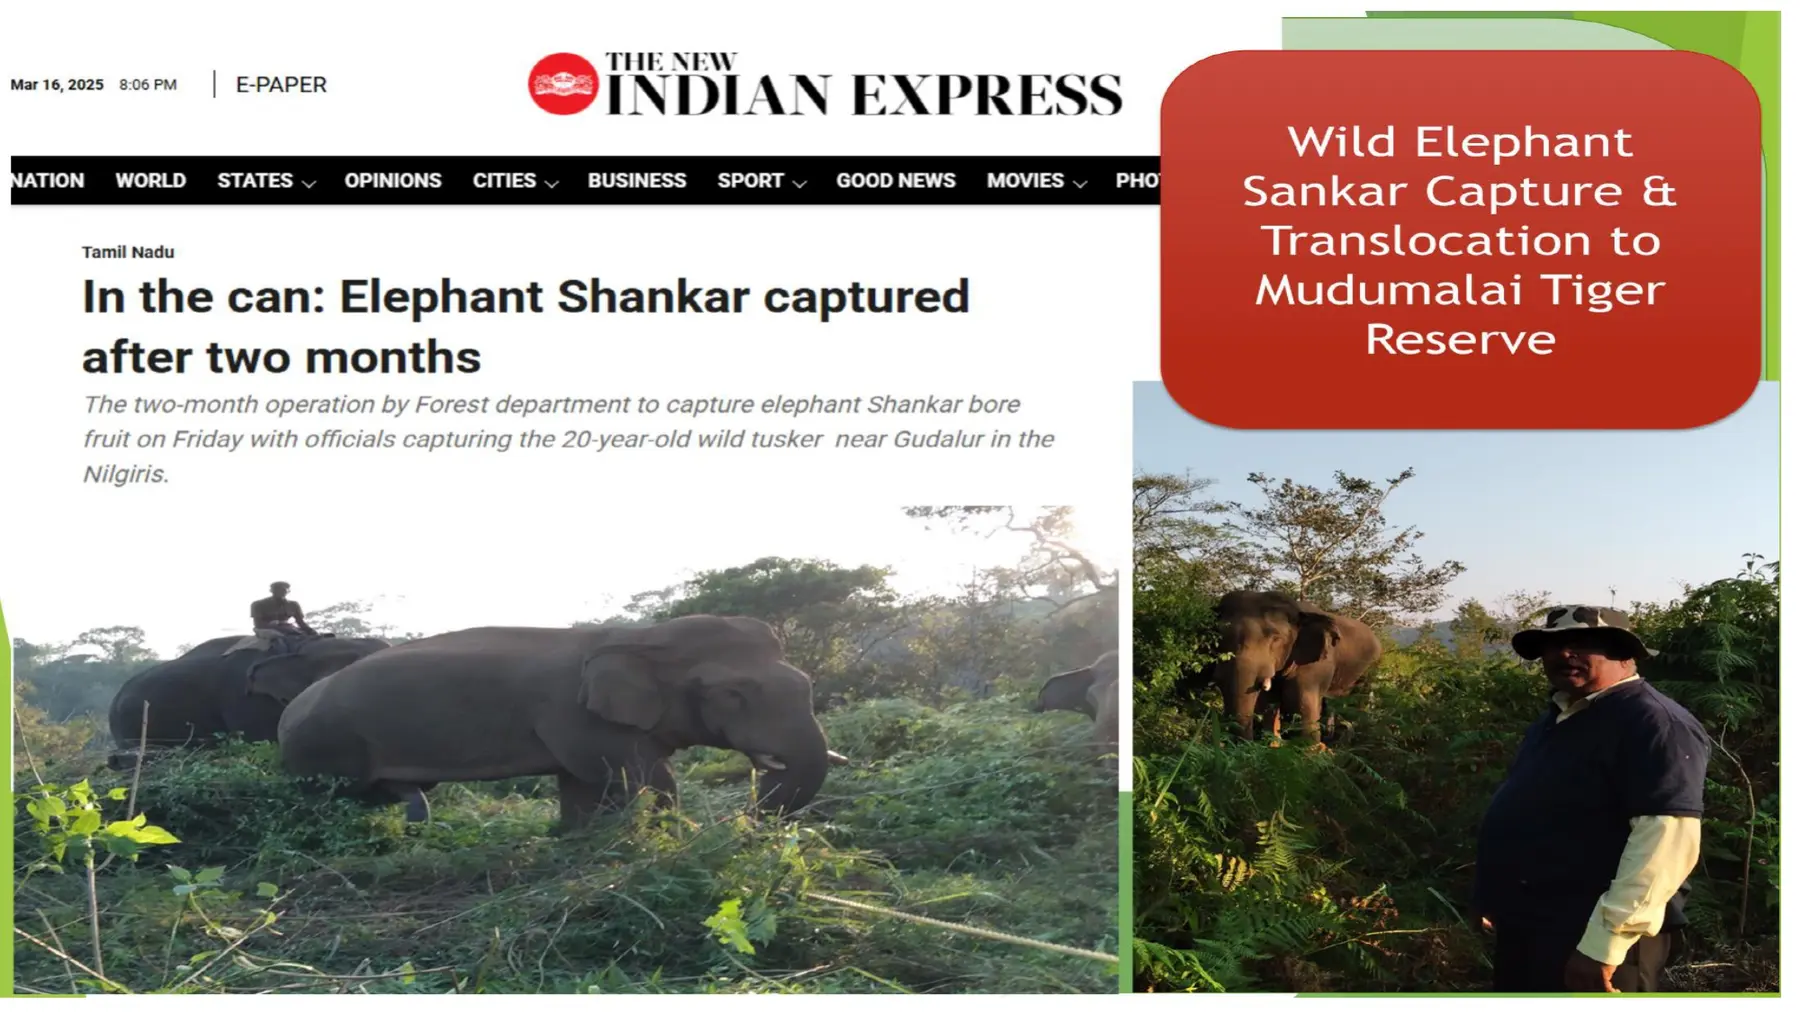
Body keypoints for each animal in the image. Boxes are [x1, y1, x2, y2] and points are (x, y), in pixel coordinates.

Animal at [274, 614, 850, 831]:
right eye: (732, 694)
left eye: (805, 685)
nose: (741, 819)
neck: (640, 636)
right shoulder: (573, 715)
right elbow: (639, 775)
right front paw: (672, 833)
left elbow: (581, 782)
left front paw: (573, 839)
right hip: (324, 744)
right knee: (333, 798)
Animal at [1201, 590, 1380, 744]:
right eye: (1218, 634)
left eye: (1276, 638)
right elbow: (1269, 702)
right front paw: (1272, 743)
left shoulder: (1315, 665)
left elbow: (1300, 704)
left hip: (1370, 669)